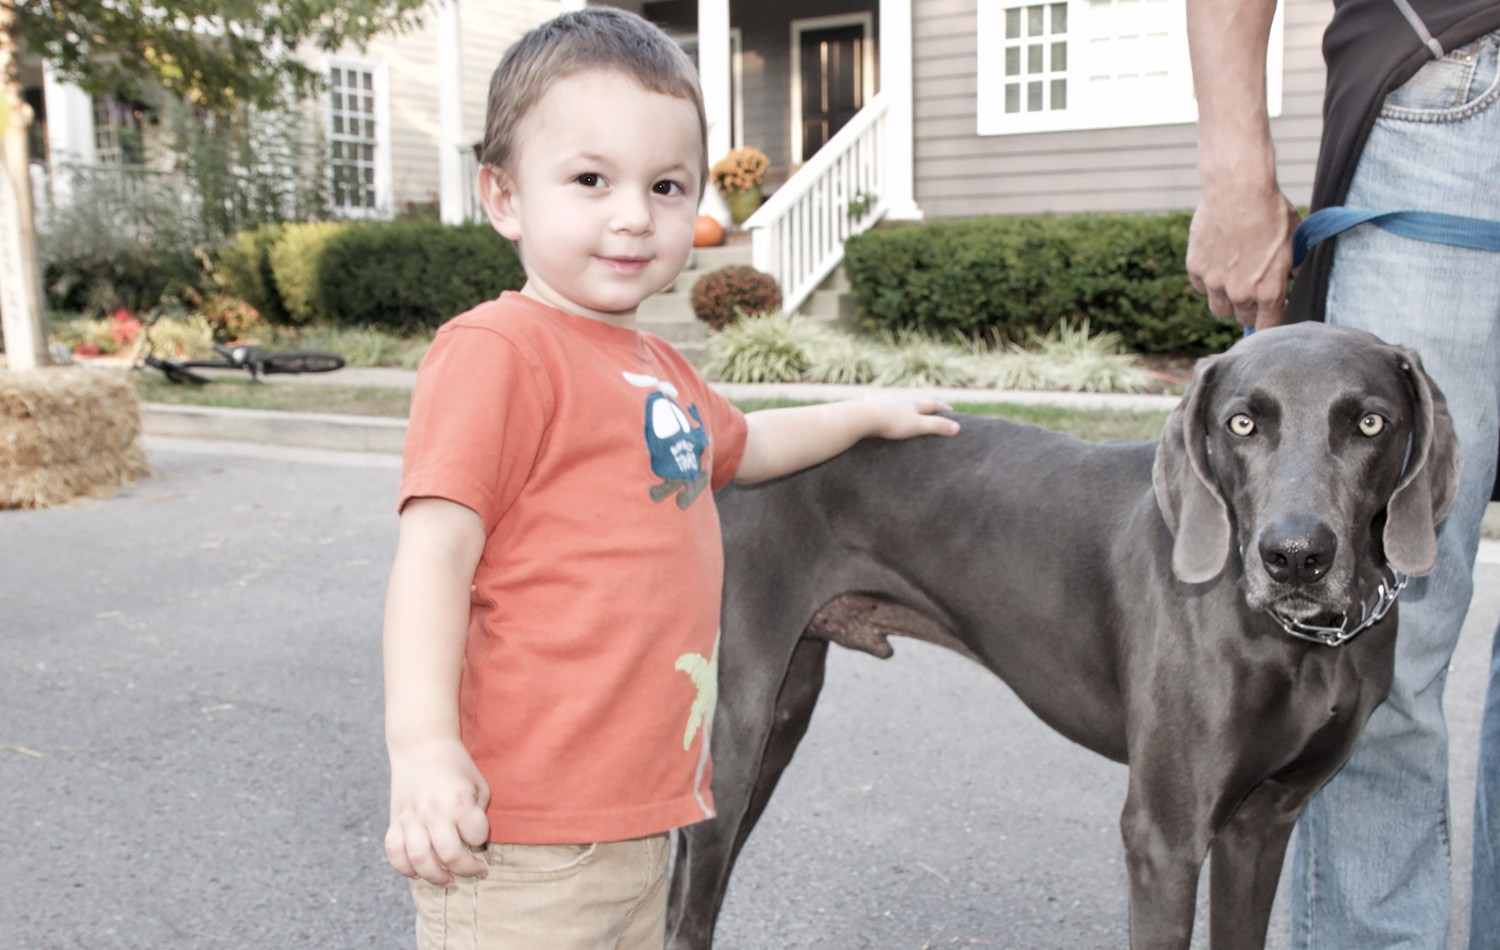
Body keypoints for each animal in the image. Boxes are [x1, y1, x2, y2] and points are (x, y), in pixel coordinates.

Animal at [672, 322, 1464, 942]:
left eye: (1369, 423)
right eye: (1242, 423)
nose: (1295, 557)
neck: (1305, 643)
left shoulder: (1265, 821)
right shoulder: (1164, 837)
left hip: (785, 714)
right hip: (737, 734)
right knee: (690, 910)